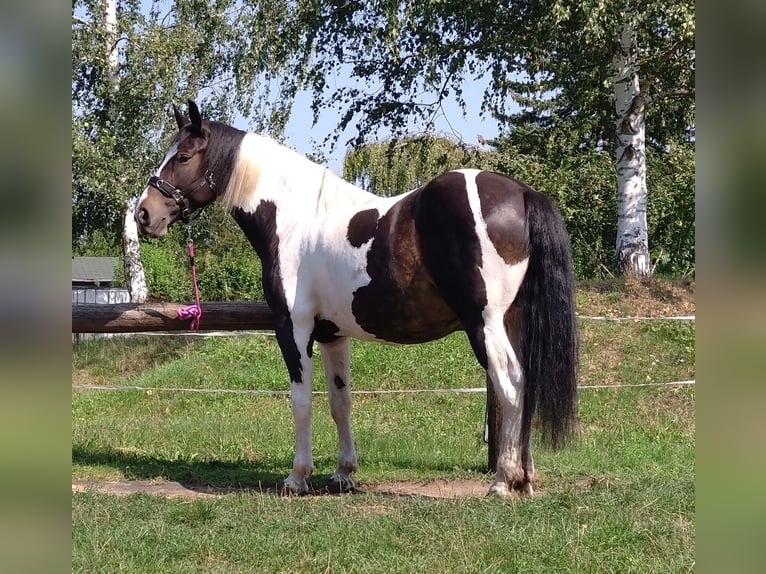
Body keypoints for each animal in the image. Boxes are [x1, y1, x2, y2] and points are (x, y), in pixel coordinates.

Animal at [135, 100, 580, 500]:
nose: (144, 214)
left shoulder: (293, 328)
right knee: (527, 385)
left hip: (484, 324)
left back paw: (503, 480)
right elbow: (340, 402)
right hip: (513, 321)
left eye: (184, 157)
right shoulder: (333, 334)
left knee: (511, 384)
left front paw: (297, 477)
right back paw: (525, 477)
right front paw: (344, 474)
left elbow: (301, 401)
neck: (295, 219)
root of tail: (522, 193)